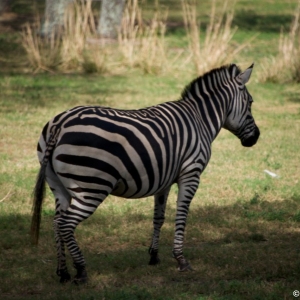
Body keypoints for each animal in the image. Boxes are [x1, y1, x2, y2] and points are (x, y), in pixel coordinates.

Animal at [31, 63, 260, 284]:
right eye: (250, 102)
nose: (256, 137)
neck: (200, 119)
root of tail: (60, 124)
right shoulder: (191, 173)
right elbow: (182, 214)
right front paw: (181, 259)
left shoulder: (164, 180)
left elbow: (159, 217)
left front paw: (154, 256)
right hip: (91, 186)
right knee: (65, 224)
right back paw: (81, 271)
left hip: (58, 185)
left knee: (56, 223)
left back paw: (63, 272)